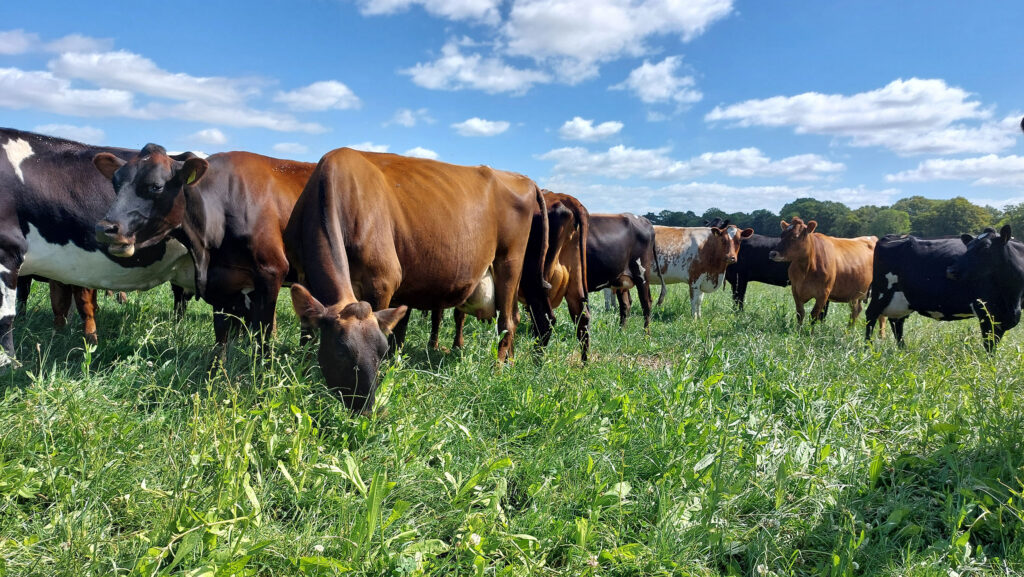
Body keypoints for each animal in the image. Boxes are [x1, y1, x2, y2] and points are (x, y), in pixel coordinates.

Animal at [284, 146, 557, 414]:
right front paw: (303, 372)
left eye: (380, 352)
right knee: (516, 316)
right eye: (341, 352)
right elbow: (306, 335)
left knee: (507, 322)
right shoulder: (304, 277)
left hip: (509, 261)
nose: (367, 409)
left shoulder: (382, 281)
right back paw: (511, 363)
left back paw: (498, 371)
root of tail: (524, 179)